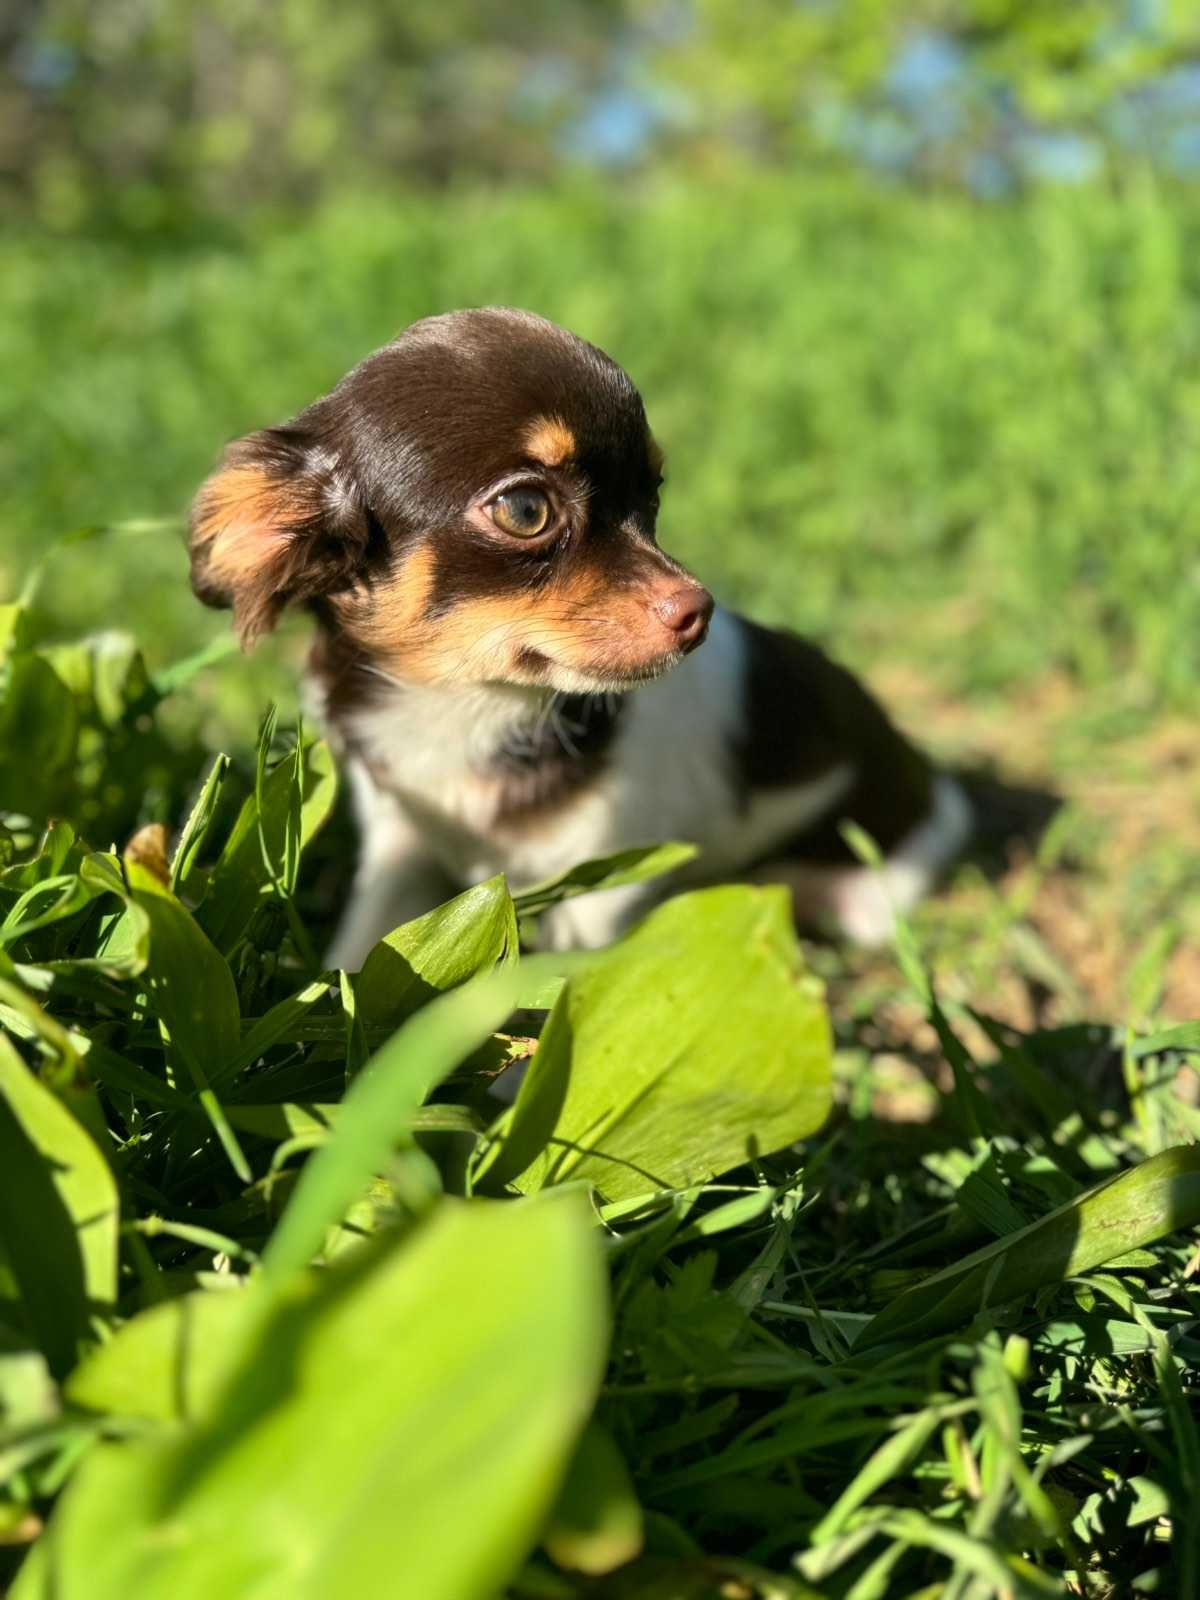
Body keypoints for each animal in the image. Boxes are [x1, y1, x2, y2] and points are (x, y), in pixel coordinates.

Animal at [190, 305, 979, 966]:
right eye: (525, 509)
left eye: (652, 494)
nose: (698, 610)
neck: (464, 706)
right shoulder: (399, 843)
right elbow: (361, 955)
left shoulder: (604, 886)